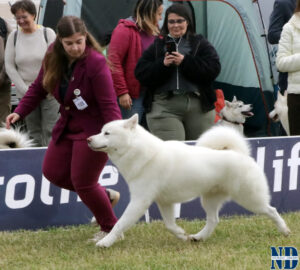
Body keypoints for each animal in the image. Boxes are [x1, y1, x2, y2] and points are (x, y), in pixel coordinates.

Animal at [87, 115, 290, 248]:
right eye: (101, 131)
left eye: (106, 133)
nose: (88, 139)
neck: (140, 152)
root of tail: (239, 152)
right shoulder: (165, 202)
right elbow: (170, 225)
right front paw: (182, 235)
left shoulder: (139, 201)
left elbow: (119, 223)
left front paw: (105, 242)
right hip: (209, 199)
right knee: (213, 220)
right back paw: (198, 237)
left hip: (249, 198)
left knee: (271, 210)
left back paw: (285, 231)